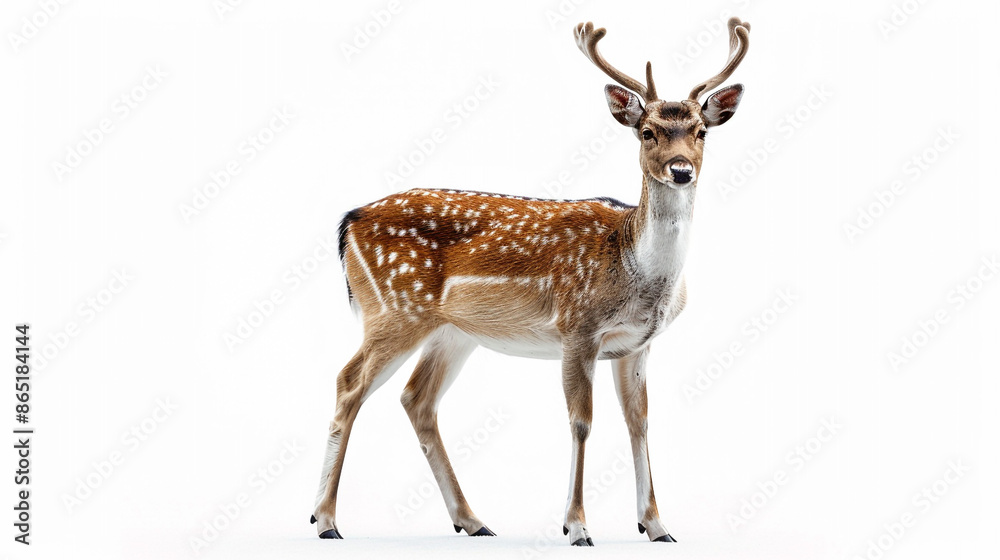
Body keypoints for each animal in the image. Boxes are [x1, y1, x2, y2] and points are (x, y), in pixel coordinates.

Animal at [310, 17, 750, 546]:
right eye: (647, 133)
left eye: (701, 132)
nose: (681, 170)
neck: (636, 268)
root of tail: (348, 222)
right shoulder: (577, 328)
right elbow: (581, 421)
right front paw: (577, 526)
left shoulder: (637, 344)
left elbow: (640, 423)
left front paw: (657, 525)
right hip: (394, 308)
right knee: (348, 383)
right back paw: (325, 520)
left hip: (450, 332)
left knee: (417, 398)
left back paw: (472, 520)